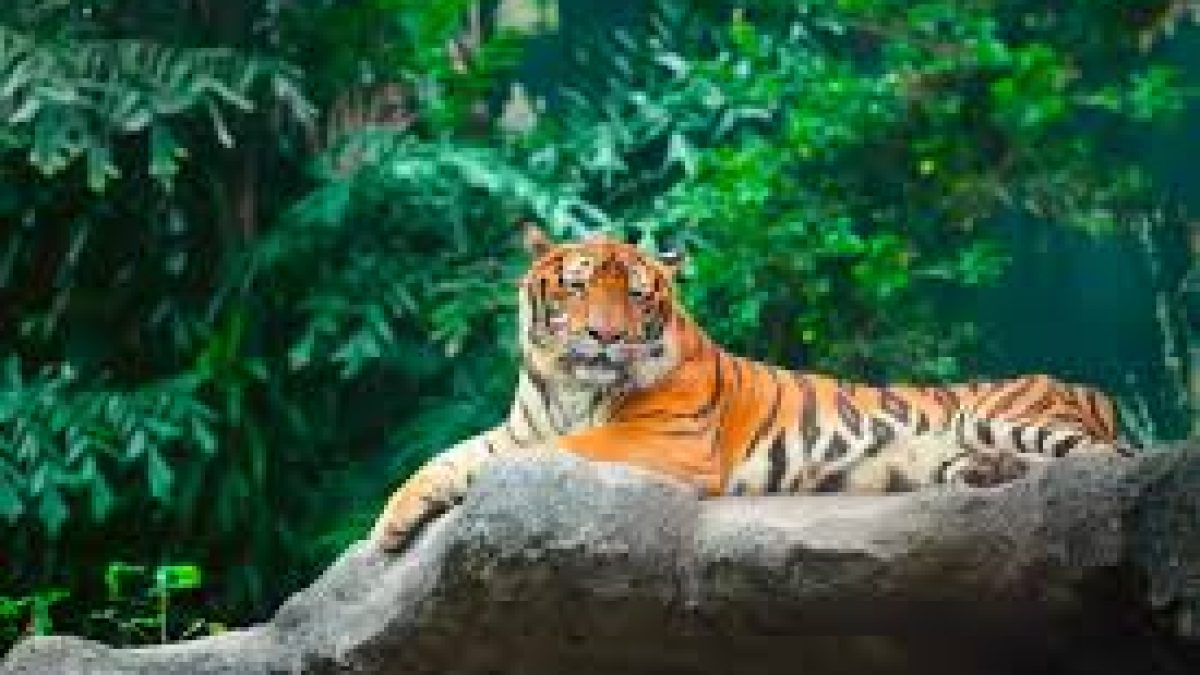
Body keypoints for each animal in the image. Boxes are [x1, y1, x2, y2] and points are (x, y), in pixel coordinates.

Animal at [372, 225, 1133, 550]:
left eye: (637, 294)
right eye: (579, 286)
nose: (605, 336)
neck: (569, 387)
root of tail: (1084, 383)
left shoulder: (662, 441)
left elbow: (554, 454)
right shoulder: (517, 427)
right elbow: (442, 458)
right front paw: (391, 526)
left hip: (1012, 416)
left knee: (1110, 462)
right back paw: (987, 474)